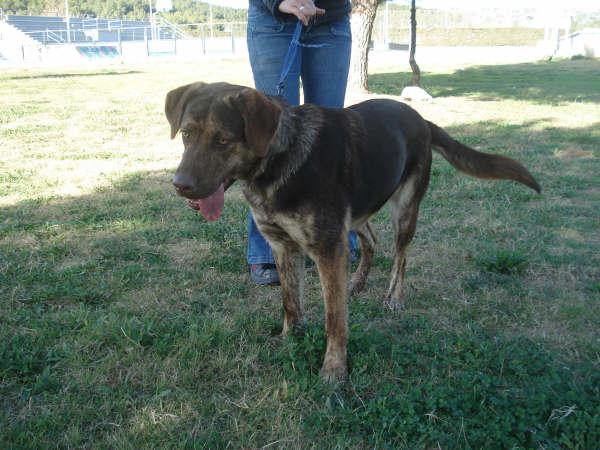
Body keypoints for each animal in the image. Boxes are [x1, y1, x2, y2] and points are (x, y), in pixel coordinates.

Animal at [166, 82, 540, 382]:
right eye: (186, 134)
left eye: (223, 140)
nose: (180, 186)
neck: (279, 159)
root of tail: (421, 119)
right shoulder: (284, 247)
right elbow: (290, 302)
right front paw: (290, 339)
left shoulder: (328, 250)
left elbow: (335, 319)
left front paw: (334, 370)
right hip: (359, 213)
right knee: (371, 242)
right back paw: (357, 282)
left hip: (405, 210)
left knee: (401, 256)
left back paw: (393, 297)